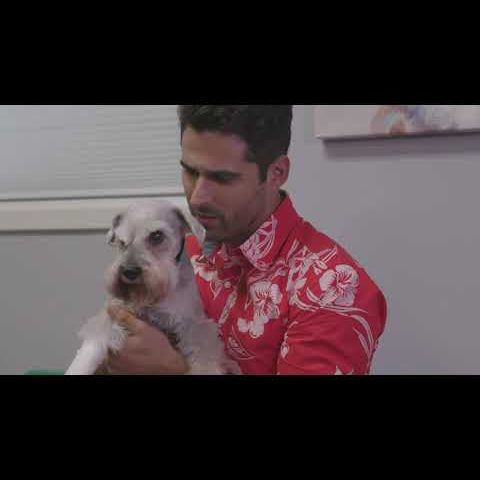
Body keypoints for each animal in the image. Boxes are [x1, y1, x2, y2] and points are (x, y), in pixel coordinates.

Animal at [65, 198, 234, 375]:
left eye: (157, 235)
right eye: (121, 242)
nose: (129, 271)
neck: (152, 298)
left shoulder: (195, 325)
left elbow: (205, 357)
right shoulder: (112, 314)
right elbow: (91, 348)